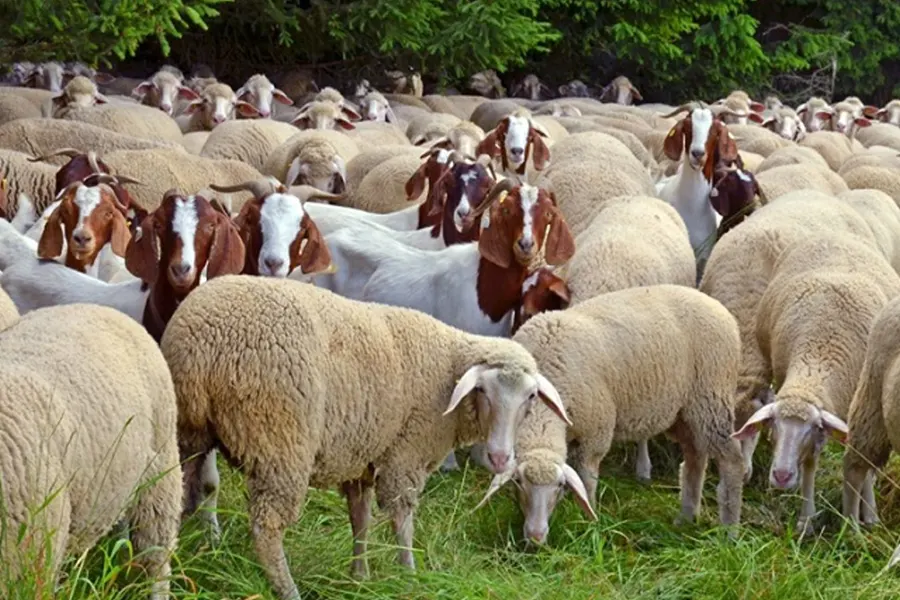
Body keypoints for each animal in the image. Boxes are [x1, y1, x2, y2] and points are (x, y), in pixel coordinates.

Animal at [161, 274, 570, 599]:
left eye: (530, 398)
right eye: (483, 391)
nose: (500, 457)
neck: (448, 368)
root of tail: (201, 348)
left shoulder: (364, 458)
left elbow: (361, 520)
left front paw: (360, 576)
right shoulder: (405, 456)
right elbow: (402, 522)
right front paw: (409, 575)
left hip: (187, 433)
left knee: (180, 498)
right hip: (279, 440)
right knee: (267, 528)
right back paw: (288, 589)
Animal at [478, 284, 745, 544]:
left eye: (559, 485)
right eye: (519, 483)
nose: (535, 537)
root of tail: (719, 308)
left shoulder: (596, 431)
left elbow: (586, 478)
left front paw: (587, 522)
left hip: (711, 398)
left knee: (732, 461)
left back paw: (730, 531)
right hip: (684, 412)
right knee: (695, 457)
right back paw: (686, 518)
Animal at [733, 235, 900, 535]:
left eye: (811, 427)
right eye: (774, 425)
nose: (781, 476)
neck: (817, 357)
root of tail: (835, 234)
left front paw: (867, 513)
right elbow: (811, 463)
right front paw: (806, 519)